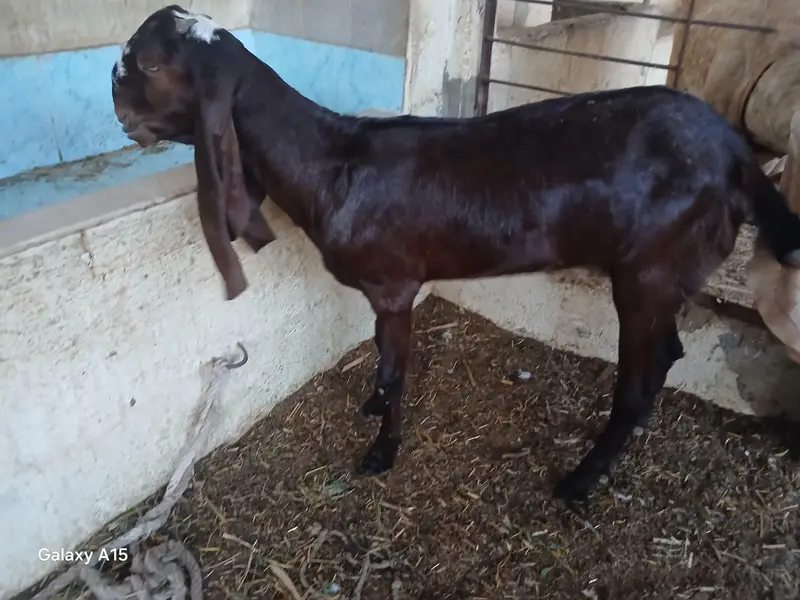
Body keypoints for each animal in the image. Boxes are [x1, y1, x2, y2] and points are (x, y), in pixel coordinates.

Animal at [112, 5, 800, 507]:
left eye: (147, 62)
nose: (116, 103)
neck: (333, 161)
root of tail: (735, 155)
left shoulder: (394, 283)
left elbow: (395, 368)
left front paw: (381, 453)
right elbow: (379, 356)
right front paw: (372, 408)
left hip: (649, 268)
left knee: (638, 376)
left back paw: (579, 482)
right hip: (668, 274)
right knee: (667, 355)